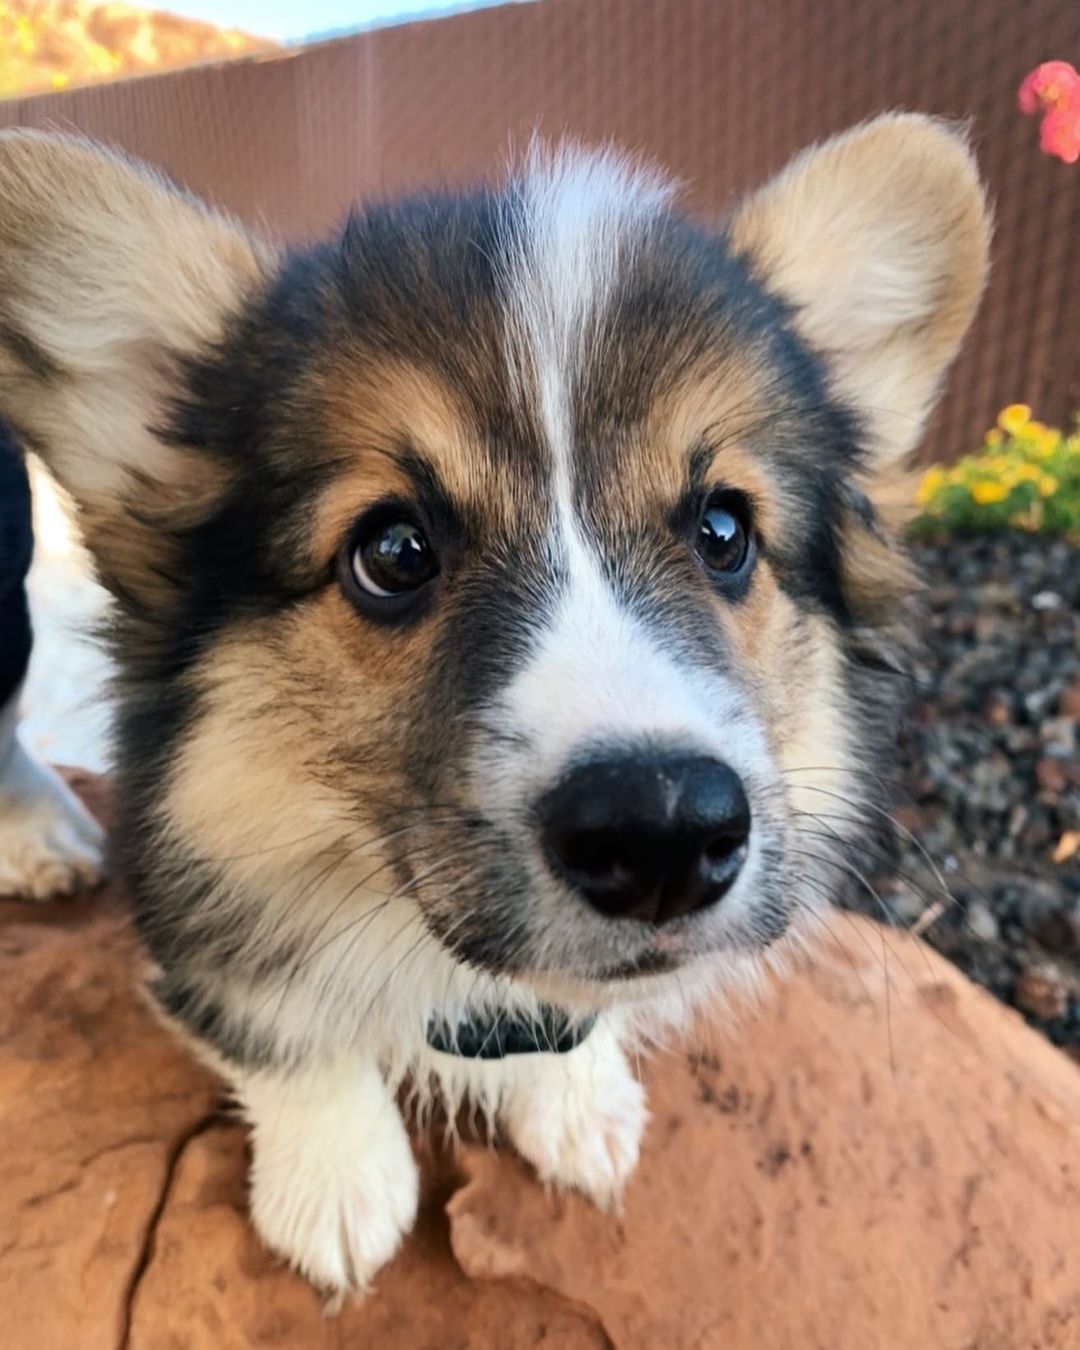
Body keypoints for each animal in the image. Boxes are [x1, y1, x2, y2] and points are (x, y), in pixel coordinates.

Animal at [0, 116, 989, 1294]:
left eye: (723, 531)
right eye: (392, 551)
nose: (662, 834)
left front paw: (578, 1103)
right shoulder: (200, 895)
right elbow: (287, 1038)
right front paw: (336, 1186)